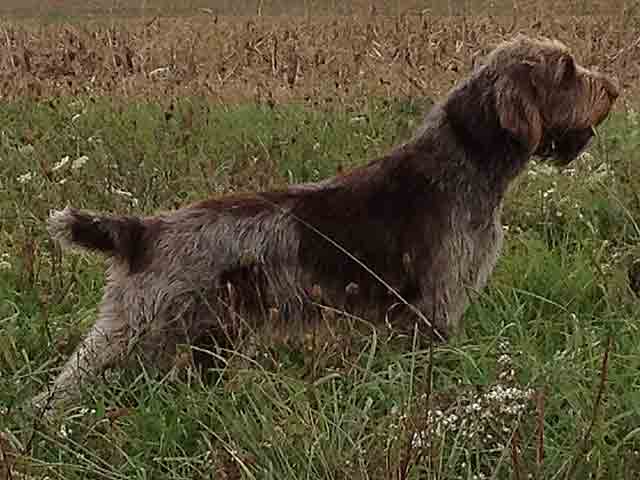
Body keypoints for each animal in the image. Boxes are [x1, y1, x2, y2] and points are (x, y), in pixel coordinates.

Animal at [32, 33, 616, 410]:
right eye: (566, 70)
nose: (612, 88)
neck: (465, 163)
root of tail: (142, 230)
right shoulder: (433, 311)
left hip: (208, 336)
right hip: (139, 330)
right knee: (67, 383)